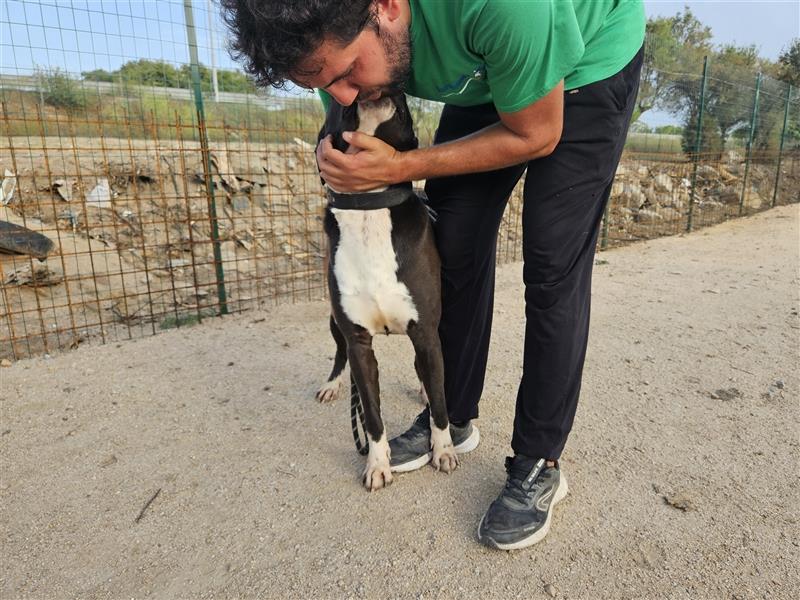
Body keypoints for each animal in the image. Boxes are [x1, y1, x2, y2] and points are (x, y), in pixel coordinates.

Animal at [316, 92, 460, 488]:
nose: (381, 88)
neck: (370, 205)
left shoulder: (426, 332)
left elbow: (440, 403)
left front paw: (443, 450)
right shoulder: (359, 342)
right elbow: (371, 415)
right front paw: (377, 464)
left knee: (427, 373)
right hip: (334, 324)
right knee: (339, 355)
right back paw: (332, 384)